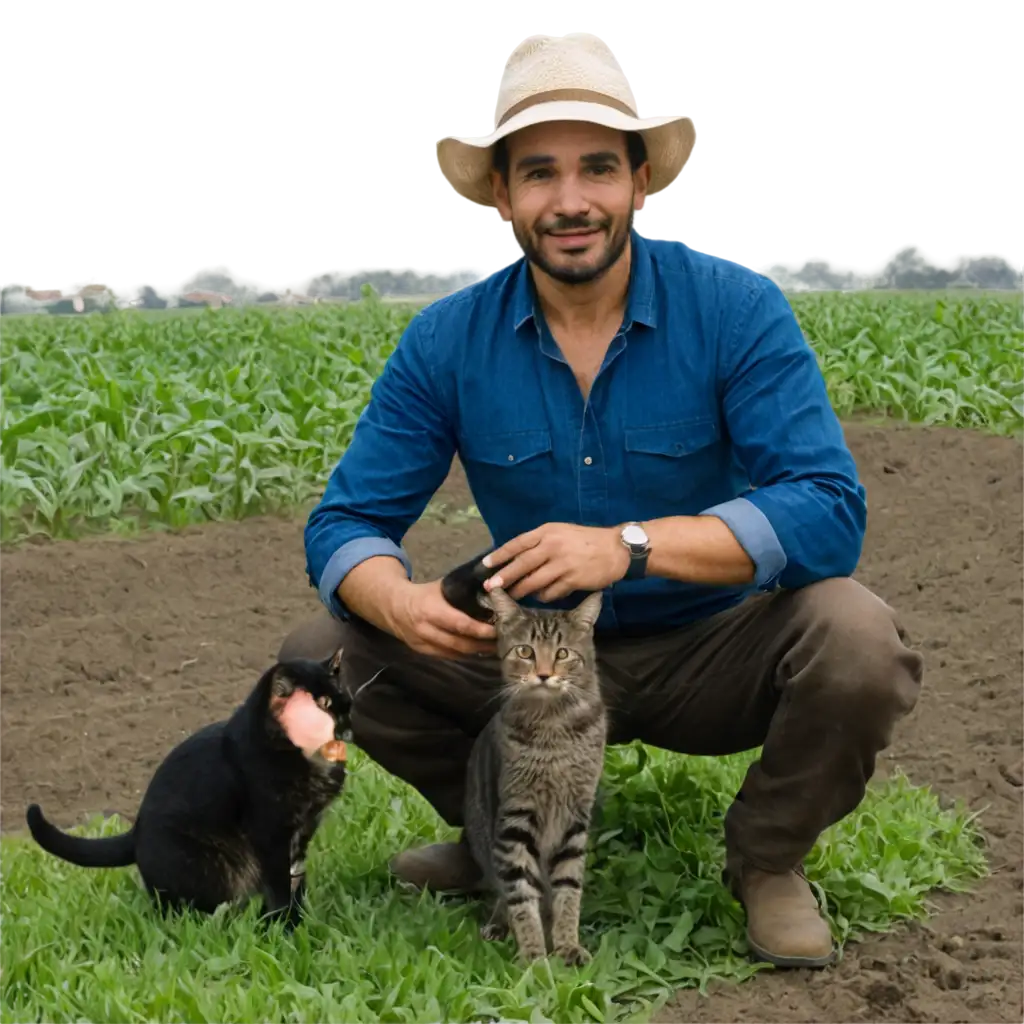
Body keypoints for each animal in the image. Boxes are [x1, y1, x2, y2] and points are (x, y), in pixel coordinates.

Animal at [25, 651, 354, 933]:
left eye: (346, 698)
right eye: (324, 703)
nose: (347, 725)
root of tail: (135, 833)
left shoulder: (301, 833)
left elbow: (296, 880)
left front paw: (297, 922)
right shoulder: (270, 834)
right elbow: (280, 888)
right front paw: (284, 928)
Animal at [464, 589, 606, 962]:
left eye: (562, 653)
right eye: (525, 652)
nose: (543, 674)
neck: (553, 730)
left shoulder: (575, 818)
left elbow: (568, 890)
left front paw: (567, 944)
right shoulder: (514, 819)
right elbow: (521, 895)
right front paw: (533, 955)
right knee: (503, 893)